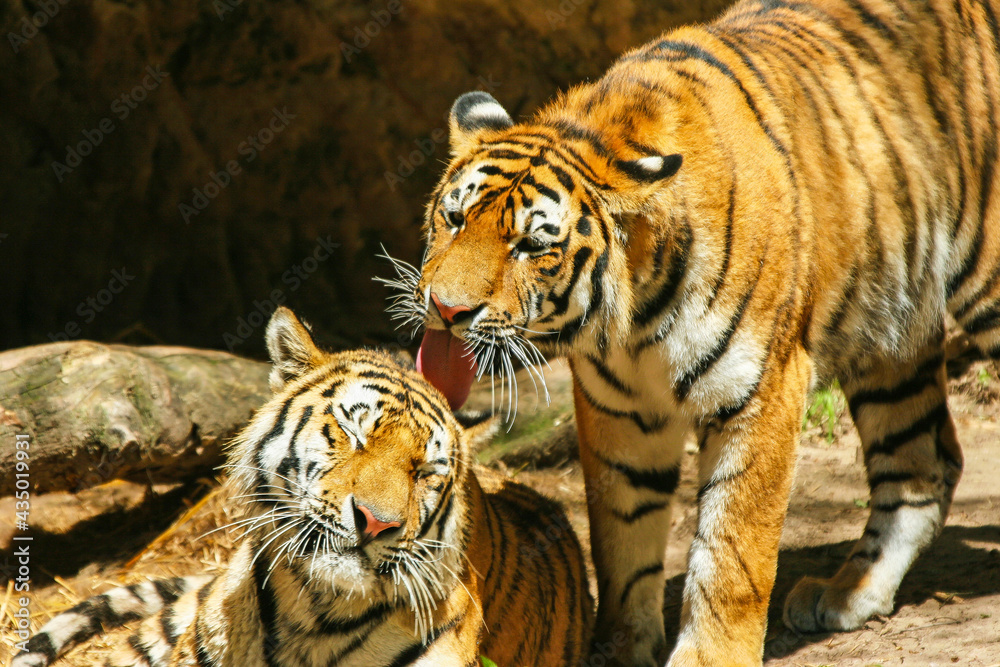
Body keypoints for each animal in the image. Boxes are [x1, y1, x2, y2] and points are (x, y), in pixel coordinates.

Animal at [381, 0, 1000, 664]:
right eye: (453, 218)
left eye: (530, 246)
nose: (446, 309)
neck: (633, 323)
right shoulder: (618, 409)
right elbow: (621, 539)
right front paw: (620, 648)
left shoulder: (762, 391)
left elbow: (733, 550)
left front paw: (711, 653)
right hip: (889, 336)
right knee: (923, 463)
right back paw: (847, 593)